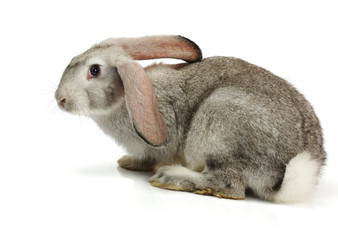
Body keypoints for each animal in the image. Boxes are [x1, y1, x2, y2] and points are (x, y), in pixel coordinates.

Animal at [55, 35, 324, 203]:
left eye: (94, 70)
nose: (60, 99)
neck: (125, 94)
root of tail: (281, 179)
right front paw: (127, 162)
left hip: (218, 124)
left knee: (230, 186)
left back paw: (171, 177)